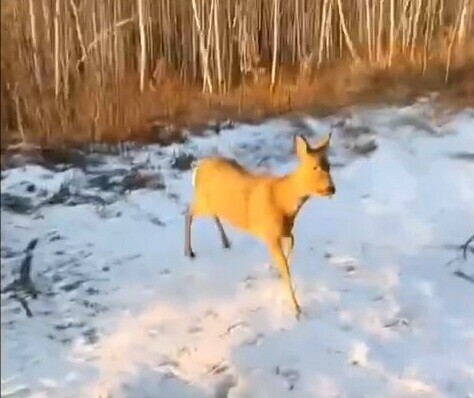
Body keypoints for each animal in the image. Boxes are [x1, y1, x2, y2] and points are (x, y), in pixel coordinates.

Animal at [183, 133, 336, 318]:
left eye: (329, 165)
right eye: (315, 167)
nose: (331, 188)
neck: (284, 202)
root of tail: (198, 167)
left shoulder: (284, 231)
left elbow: (291, 246)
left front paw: (276, 271)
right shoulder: (270, 234)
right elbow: (286, 269)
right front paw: (297, 310)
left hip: (213, 203)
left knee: (211, 214)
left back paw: (225, 242)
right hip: (202, 200)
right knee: (188, 212)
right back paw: (189, 251)